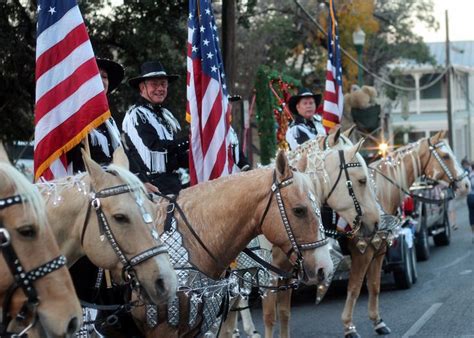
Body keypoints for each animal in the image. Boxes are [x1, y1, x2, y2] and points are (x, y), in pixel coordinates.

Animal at [318, 129, 470, 338]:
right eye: (446, 156)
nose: (466, 184)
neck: (379, 192)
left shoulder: (379, 249)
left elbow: (374, 285)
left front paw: (378, 322)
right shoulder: (363, 252)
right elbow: (355, 287)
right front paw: (349, 327)